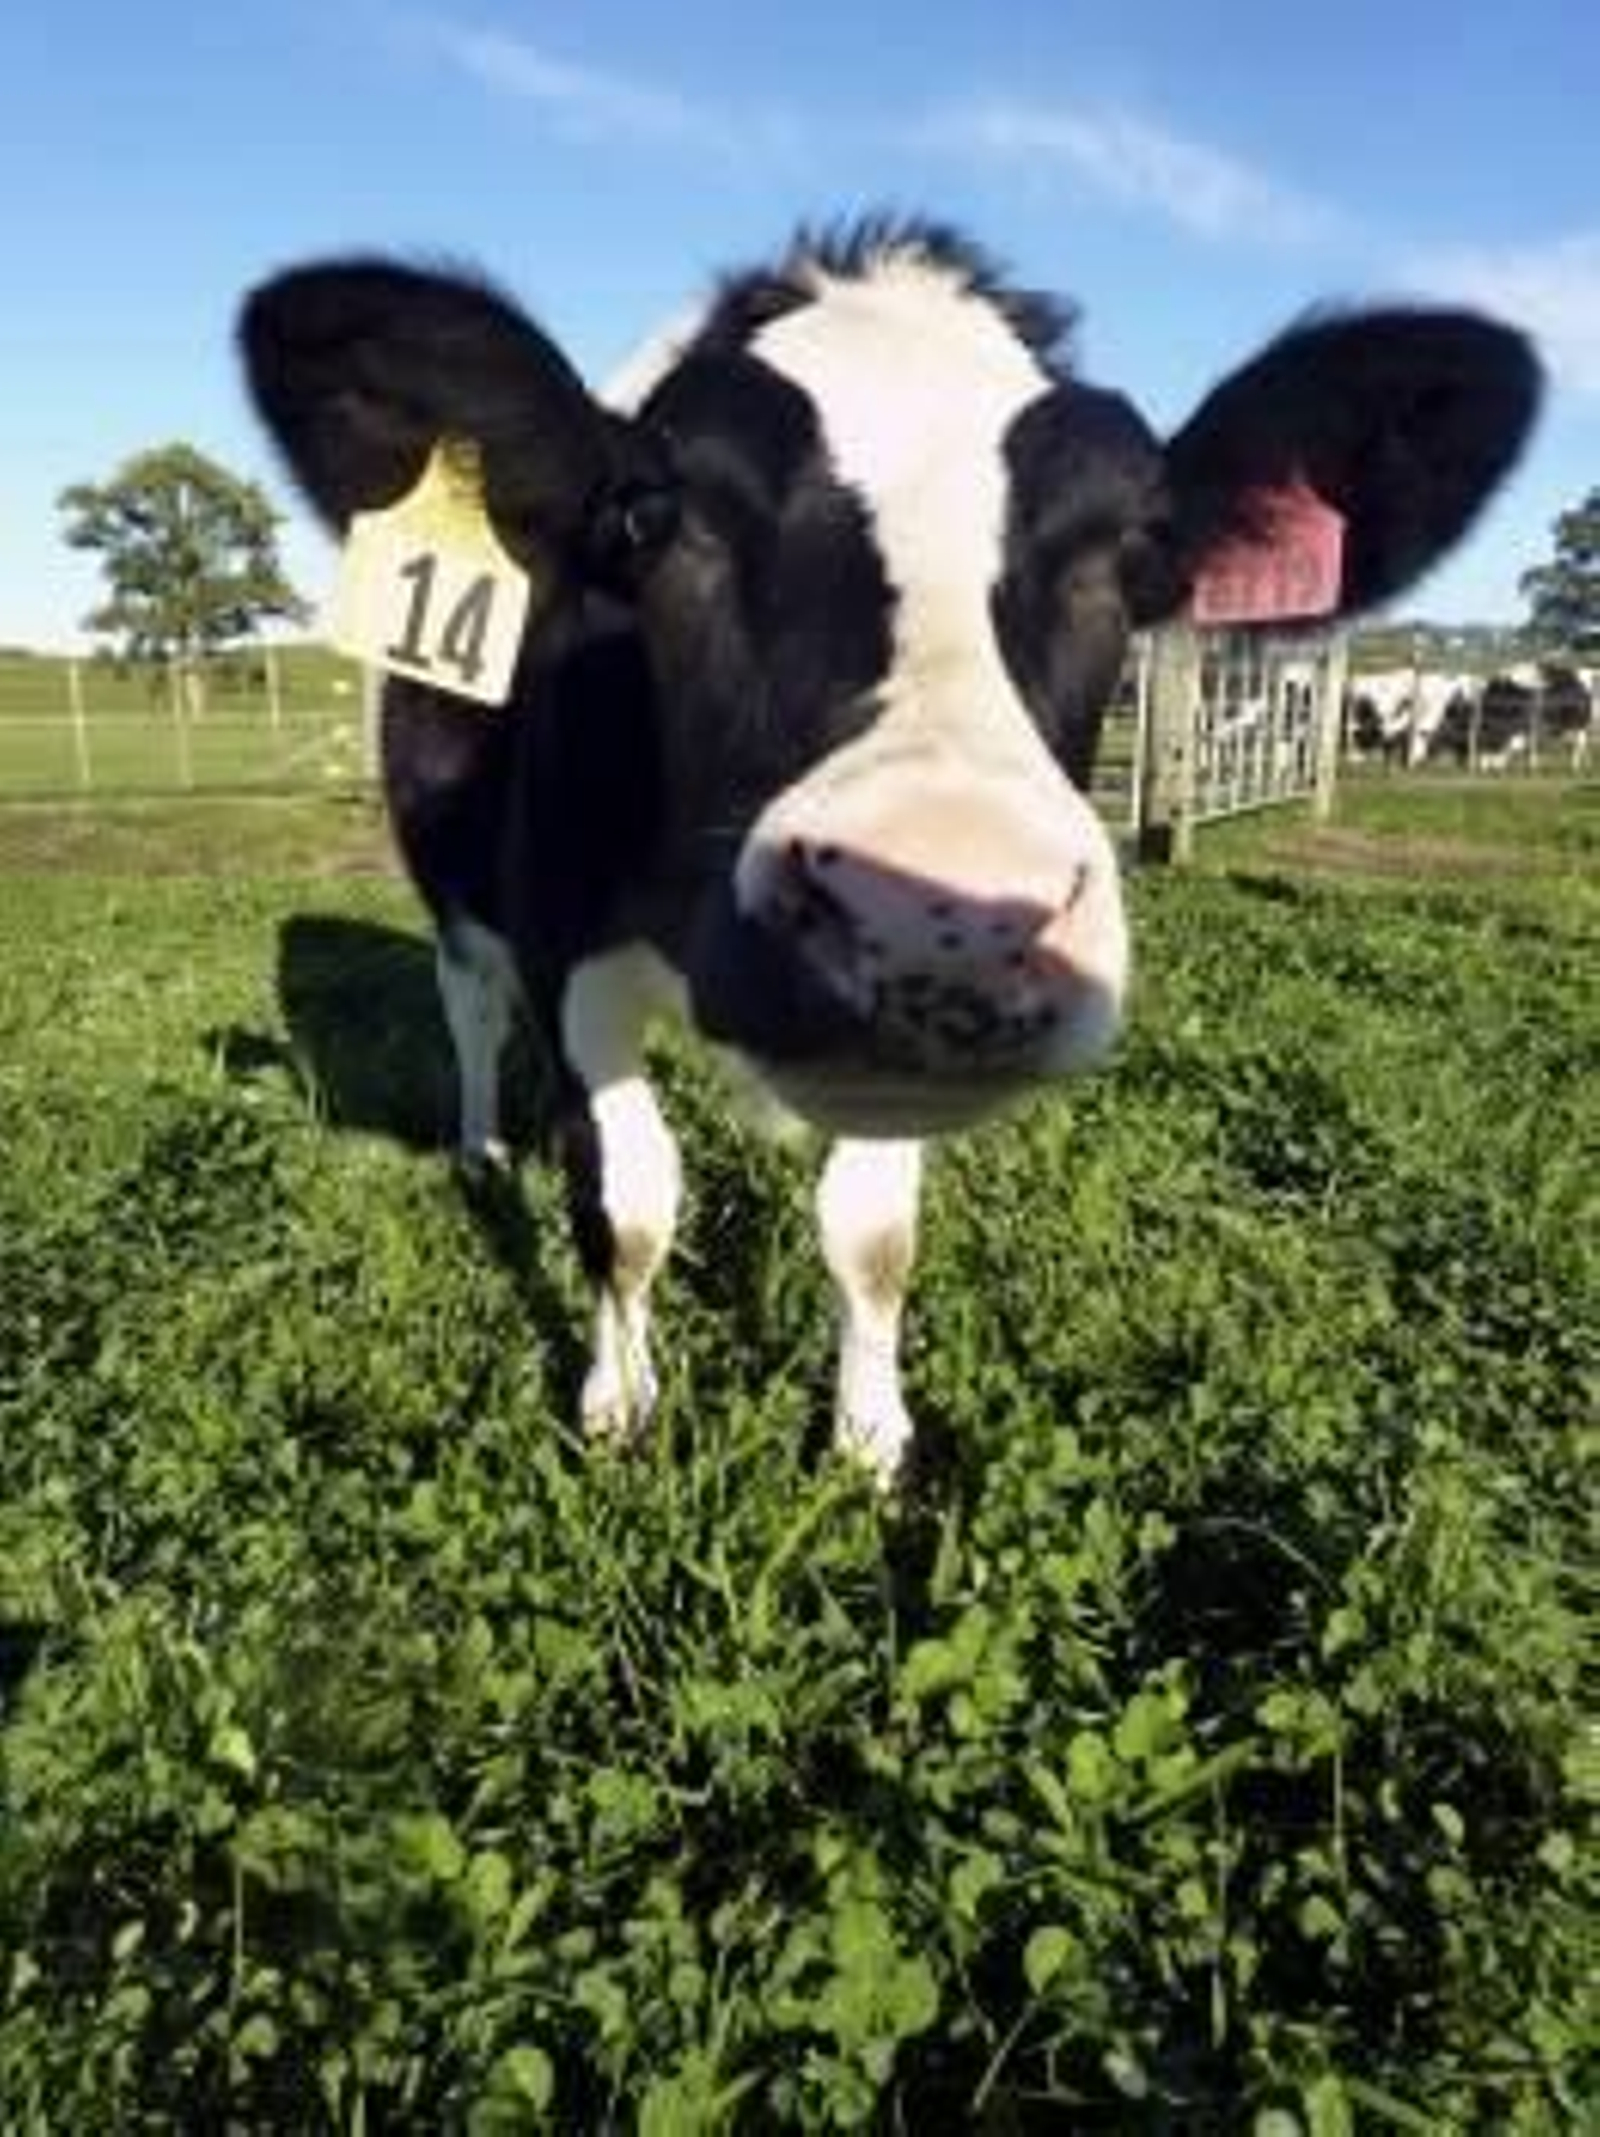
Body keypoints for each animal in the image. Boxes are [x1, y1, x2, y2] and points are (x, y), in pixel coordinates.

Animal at [239, 214, 1540, 1487]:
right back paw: (480, 1146)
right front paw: (619, 1402)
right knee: (467, 1000)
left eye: (1136, 549)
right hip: (449, 874)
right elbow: (628, 1201)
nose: (940, 917)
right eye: (652, 519)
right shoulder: (566, 942)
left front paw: (870, 1435)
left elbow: (870, 1235)